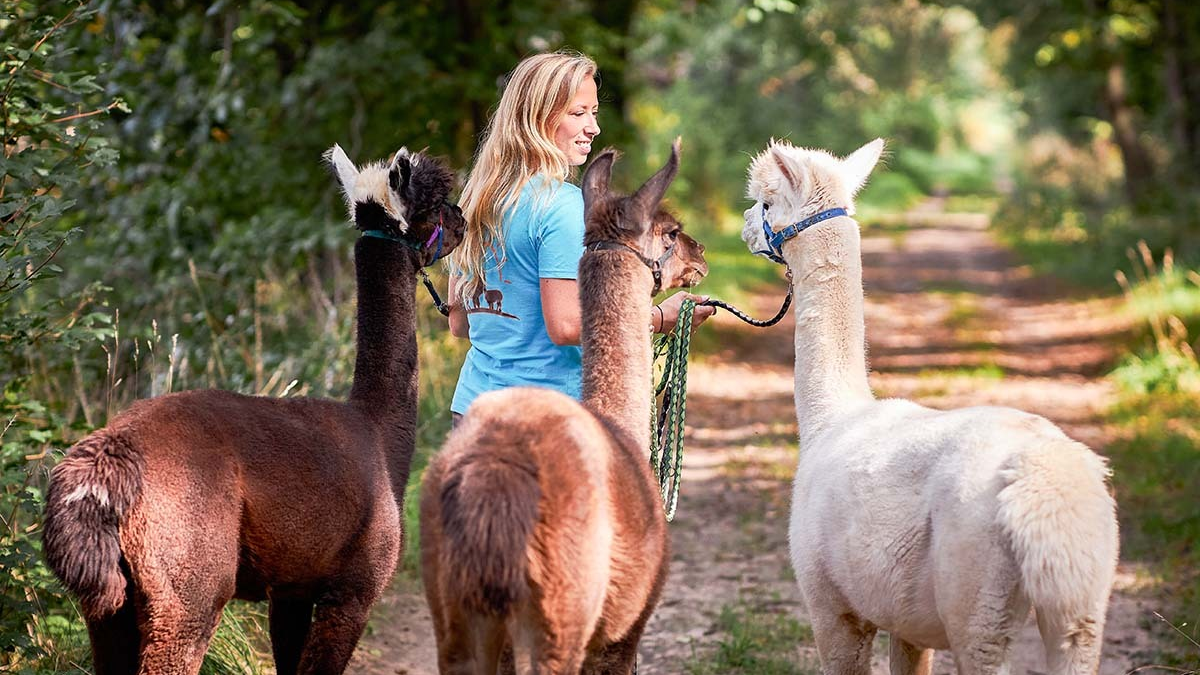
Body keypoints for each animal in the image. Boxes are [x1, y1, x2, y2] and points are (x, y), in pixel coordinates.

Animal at [41, 145, 466, 675]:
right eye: (435, 205)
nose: (463, 219)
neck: (379, 434)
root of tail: (105, 464)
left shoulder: (291, 589)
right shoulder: (354, 589)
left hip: (111, 607)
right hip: (187, 583)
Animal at [741, 138, 1119, 675]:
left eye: (767, 202)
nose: (744, 226)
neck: (832, 419)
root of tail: (1042, 471)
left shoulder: (832, 607)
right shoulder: (907, 621)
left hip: (975, 589)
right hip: (1083, 593)